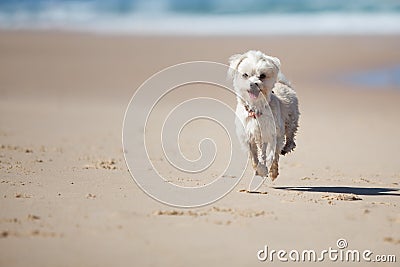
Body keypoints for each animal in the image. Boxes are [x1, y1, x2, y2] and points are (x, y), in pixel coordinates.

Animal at [228, 49, 300, 182]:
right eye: (245, 75)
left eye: (262, 76)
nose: (254, 84)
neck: (256, 109)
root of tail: (283, 83)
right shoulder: (248, 137)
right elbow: (254, 158)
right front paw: (261, 170)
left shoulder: (275, 134)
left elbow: (273, 155)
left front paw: (272, 172)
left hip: (291, 119)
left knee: (290, 136)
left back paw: (287, 147)